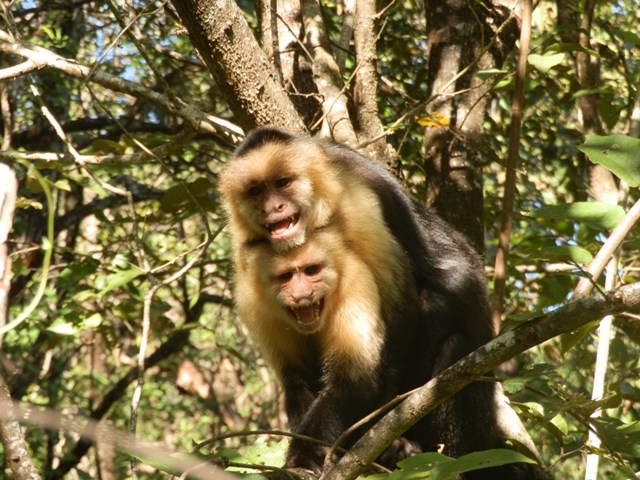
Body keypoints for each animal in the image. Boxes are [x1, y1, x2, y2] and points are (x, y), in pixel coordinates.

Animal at [219, 128, 544, 480]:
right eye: (255, 191)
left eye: (283, 183)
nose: (273, 207)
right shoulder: (253, 294)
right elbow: (297, 378)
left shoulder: (355, 201)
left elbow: (397, 319)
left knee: (452, 338)